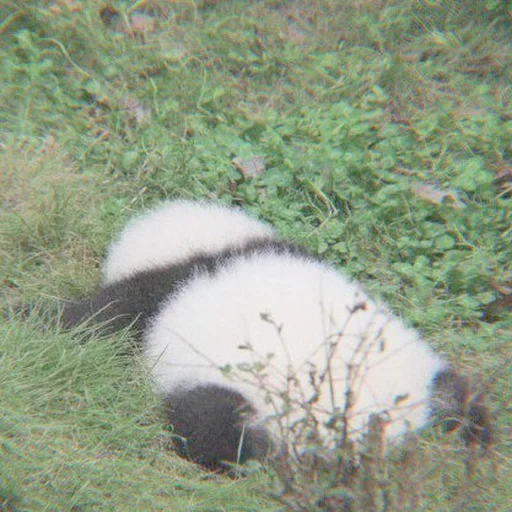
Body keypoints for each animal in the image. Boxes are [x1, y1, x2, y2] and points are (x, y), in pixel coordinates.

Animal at [59, 199, 492, 468]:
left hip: (244, 398)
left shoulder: (156, 294)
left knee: (216, 430)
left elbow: (102, 319)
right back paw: (474, 435)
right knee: (460, 395)